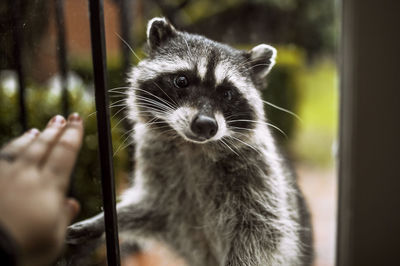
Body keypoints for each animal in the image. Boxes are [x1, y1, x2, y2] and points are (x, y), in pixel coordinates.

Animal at [68, 17, 312, 266]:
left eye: (227, 94)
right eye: (181, 81)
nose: (205, 125)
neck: (192, 146)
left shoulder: (259, 172)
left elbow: (264, 230)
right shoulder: (158, 165)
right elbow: (152, 208)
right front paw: (102, 221)